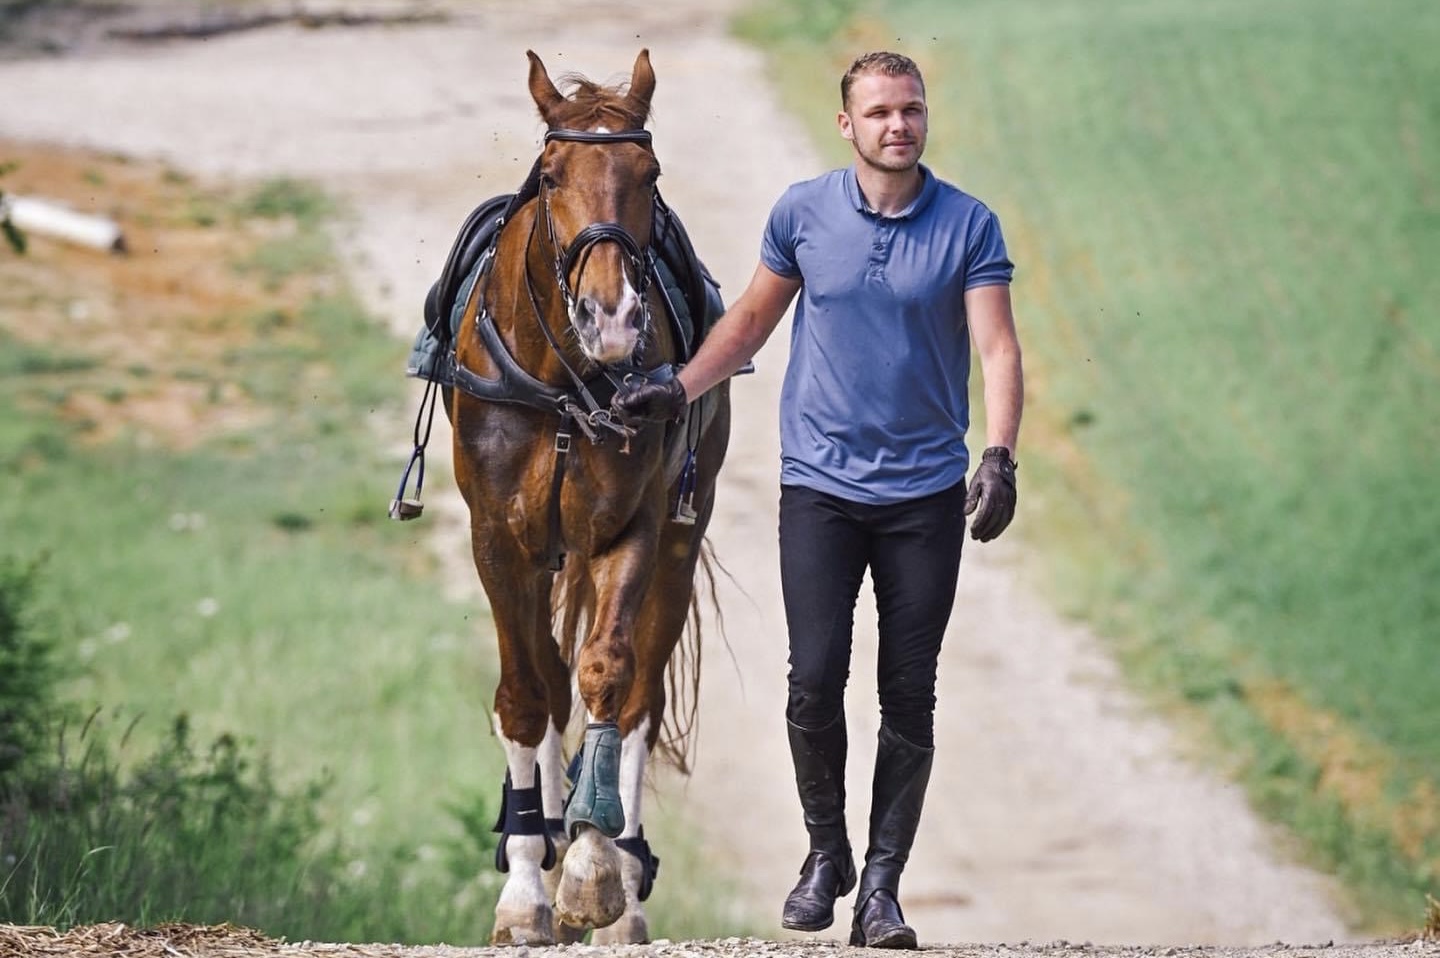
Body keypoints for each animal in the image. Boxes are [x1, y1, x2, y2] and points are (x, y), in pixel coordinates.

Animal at [440, 52, 731, 939]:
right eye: (551, 174)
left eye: (649, 174)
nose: (612, 317)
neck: (564, 383)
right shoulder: (498, 540)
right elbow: (526, 695)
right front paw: (526, 885)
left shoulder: (628, 528)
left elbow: (609, 674)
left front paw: (595, 868)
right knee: (547, 675)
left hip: (679, 540)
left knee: (637, 696)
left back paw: (624, 875)